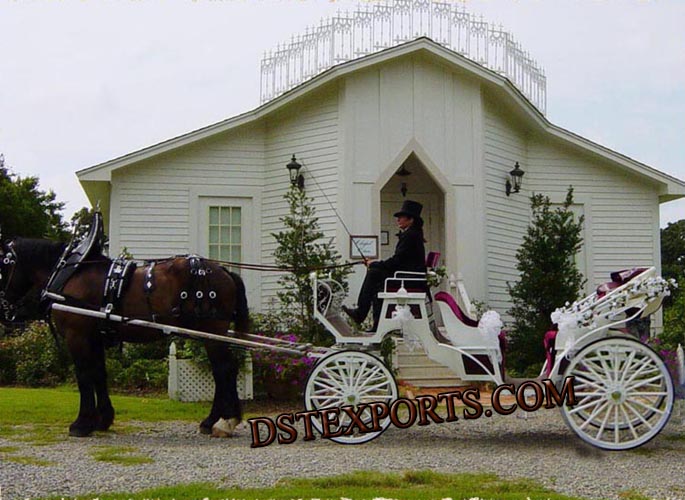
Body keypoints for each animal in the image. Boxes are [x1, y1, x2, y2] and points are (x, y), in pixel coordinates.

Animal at [0, 236, 246, 436]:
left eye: (3, 264)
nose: (4, 305)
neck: (70, 274)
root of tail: (225, 272)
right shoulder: (95, 337)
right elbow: (99, 374)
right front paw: (103, 419)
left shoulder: (77, 335)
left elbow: (84, 375)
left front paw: (81, 424)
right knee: (226, 370)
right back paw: (219, 420)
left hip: (212, 331)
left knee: (223, 370)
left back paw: (222, 421)